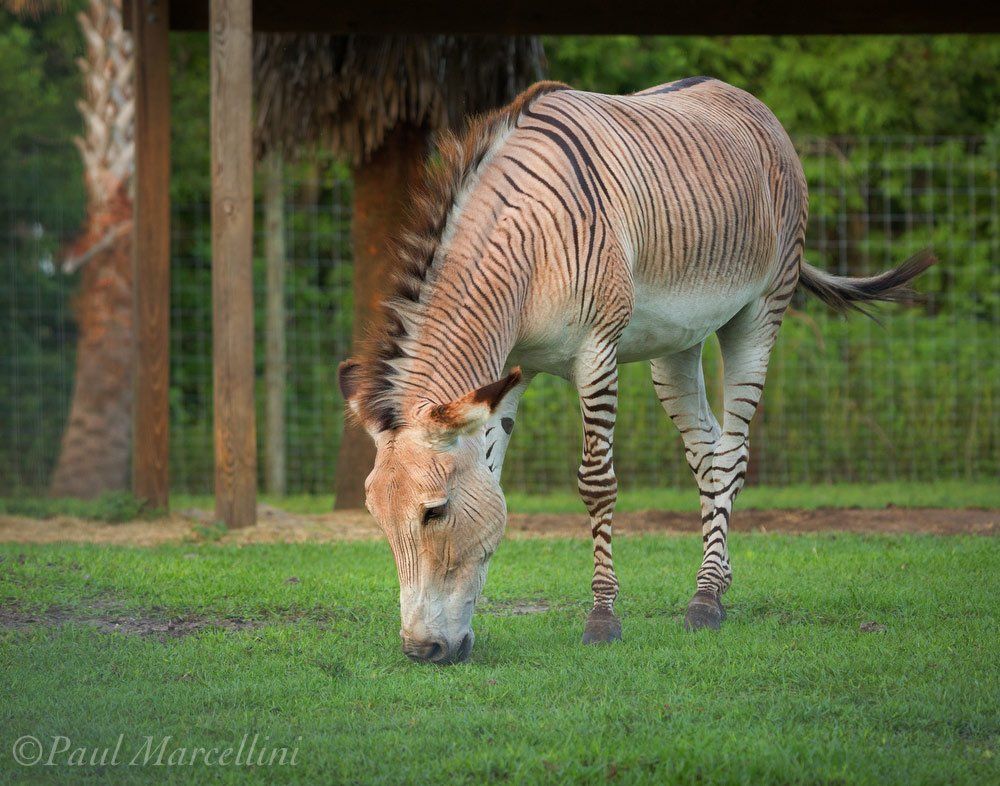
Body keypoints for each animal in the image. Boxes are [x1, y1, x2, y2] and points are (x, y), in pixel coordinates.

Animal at [338, 77, 933, 664]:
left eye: (434, 513)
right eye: (378, 519)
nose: (422, 651)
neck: (526, 253)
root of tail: (738, 94)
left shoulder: (596, 351)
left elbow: (596, 483)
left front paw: (603, 618)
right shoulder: (508, 371)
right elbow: (493, 483)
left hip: (761, 312)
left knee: (733, 451)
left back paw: (705, 602)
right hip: (677, 338)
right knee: (708, 451)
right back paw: (716, 583)